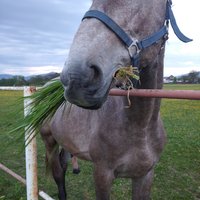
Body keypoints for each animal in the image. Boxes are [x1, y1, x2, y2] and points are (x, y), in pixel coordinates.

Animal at [39, 0, 191, 199]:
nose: (75, 77)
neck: (140, 128)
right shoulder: (102, 174)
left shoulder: (145, 175)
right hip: (49, 141)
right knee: (58, 174)